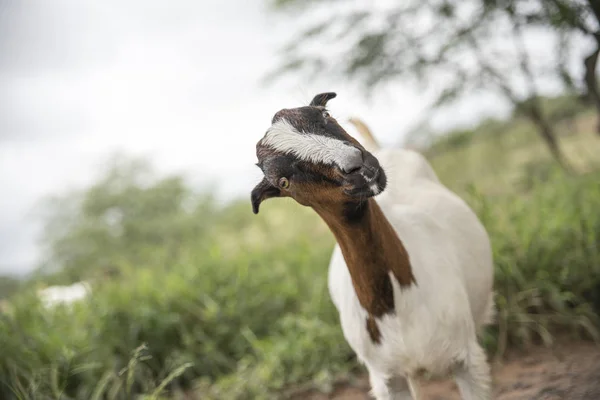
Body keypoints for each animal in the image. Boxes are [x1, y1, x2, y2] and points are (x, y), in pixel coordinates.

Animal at [251, 93, 494, 396]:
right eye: (283, 181)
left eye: (325, 115)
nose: (358, 164)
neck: (394, 307)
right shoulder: (387, 378)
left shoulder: (465, 360)